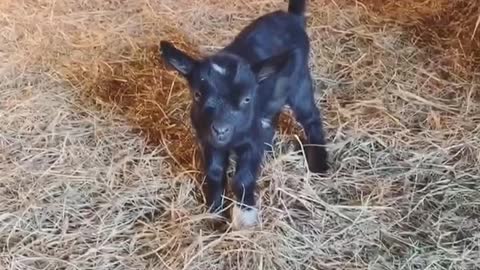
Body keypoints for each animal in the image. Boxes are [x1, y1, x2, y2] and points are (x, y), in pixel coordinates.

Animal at [159, 0, 328, 230]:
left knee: (311, 117)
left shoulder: (250, 140)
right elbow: (214, 172)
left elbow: (242, 177)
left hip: (300, 83)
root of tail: (293, 18)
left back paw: (320, 165)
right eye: (197, 94)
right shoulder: (208, 140)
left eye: (247, 99)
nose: (221, 130)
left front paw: (245, 215)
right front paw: (215, 212)